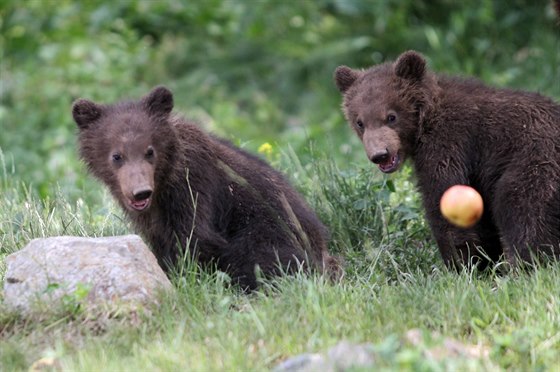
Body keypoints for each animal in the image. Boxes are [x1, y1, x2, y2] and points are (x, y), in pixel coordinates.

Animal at [72, 85, 340, 290]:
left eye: (150, 151)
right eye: (117, 155)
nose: (140, 191)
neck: (163, 184)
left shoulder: (193, 188)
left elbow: (194, 237)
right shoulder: (151, 217)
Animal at [334, 50, 556, 268]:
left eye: (391, 116)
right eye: (360, 122)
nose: (380, 154)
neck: (424, 124)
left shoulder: (449, 143)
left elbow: (443, 197)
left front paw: (462, 263)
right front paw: (485, 259)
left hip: (533, 161)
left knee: (524, 208)